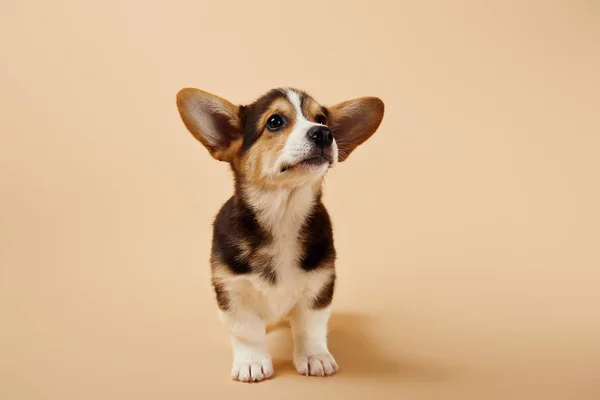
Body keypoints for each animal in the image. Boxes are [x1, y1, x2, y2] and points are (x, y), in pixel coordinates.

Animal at [176, 87, 382, 382]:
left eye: (322, 119)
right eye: (275, 121)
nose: (324, 133)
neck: (282, 215)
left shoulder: (319, 287)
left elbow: (310, 327)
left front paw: (315, 358)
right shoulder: (232, 291)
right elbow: (247, 332)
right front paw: (252, 362)